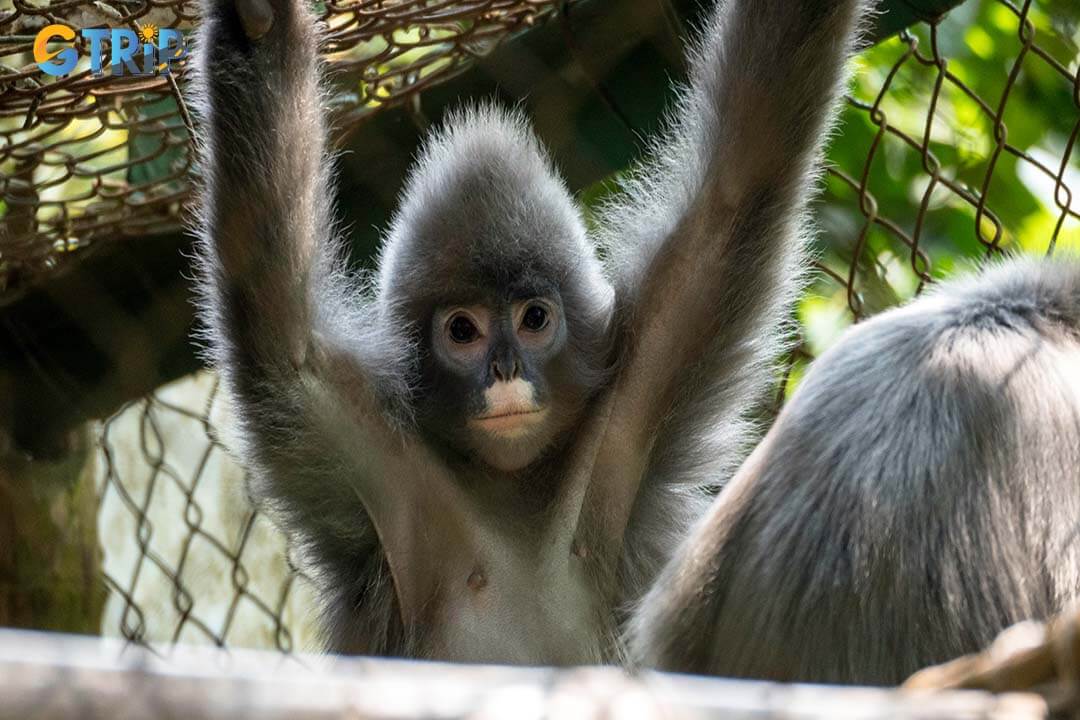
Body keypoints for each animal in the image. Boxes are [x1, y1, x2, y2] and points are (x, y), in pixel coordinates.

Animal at [194, 0, 868, 660]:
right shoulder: (360, 444)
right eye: (463, 330)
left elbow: (740, 180)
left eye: (534, 319)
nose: (506, 369)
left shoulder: (634, 398)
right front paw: (258, 29)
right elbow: (283, 342)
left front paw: (259, 23)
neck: (509, 485)